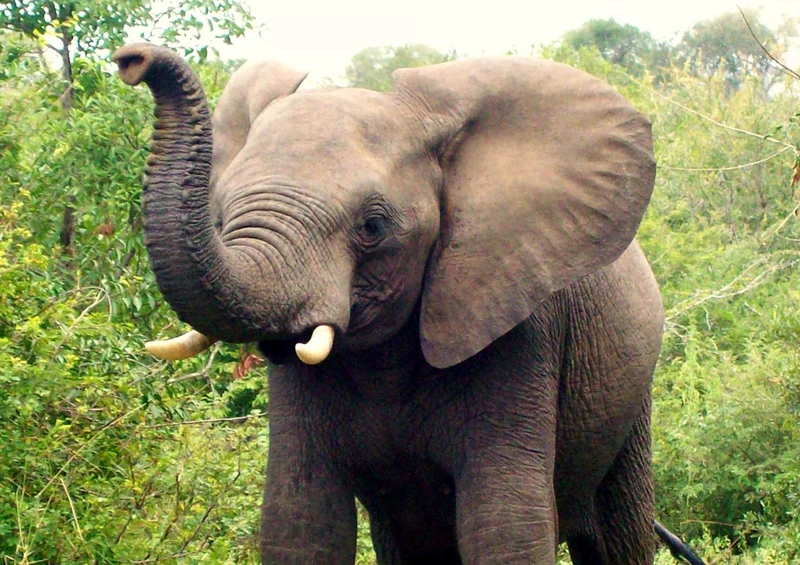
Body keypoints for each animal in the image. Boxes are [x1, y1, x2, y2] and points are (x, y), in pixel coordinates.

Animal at [113, 43, 703, 565]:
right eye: (218, 216)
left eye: (373, 226)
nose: (131, 60)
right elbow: (300, 519)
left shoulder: (522, 327)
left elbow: (505, 525)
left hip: (631, 401)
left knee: (616, 537)